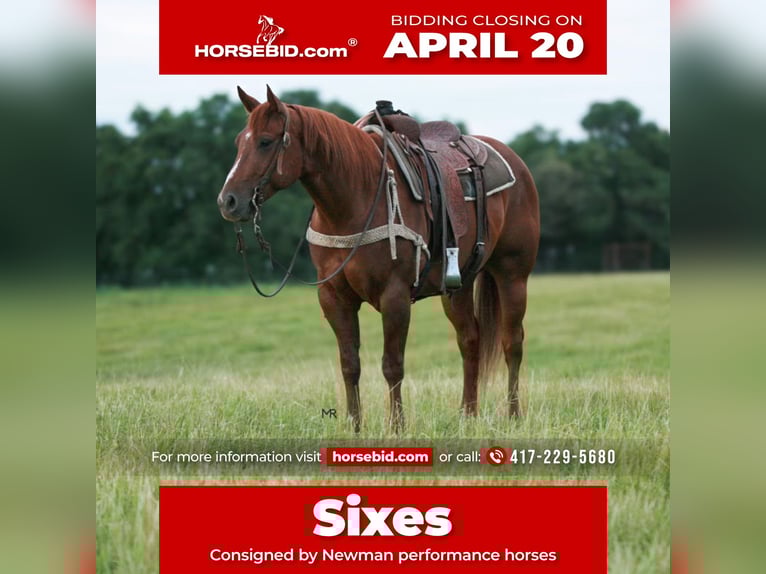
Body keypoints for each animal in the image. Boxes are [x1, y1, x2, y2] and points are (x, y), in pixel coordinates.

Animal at [217, 86, 540, 432]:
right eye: (239, 142)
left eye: (265, 141)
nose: (228, 201)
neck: (354, 200)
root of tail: (514, 161)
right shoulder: (334, 298)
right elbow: (349, 364)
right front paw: (354, 426)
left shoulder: (394, 296)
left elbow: (392, 365)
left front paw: (397, 427)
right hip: (460, 286)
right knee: (470, 340)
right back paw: (468, 416)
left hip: (512, 275)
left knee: (512, 342)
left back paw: (514, 415)